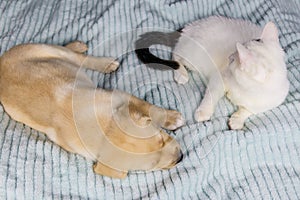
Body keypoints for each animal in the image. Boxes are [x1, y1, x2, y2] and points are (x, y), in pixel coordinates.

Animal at [0, 41, 185, 178]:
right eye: (153, 166)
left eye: (161, 138)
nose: (181, 157)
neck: (106, 129)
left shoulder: (119, 96)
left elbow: (150, 107)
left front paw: (171, 117)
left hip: (46, 50)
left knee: (77, 56)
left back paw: (90, 53)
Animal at [136, 16, 288, 129]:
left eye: (234, 59)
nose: (229, 57)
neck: (246, 90)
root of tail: (189, 26)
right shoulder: (219, 77)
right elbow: (211, 95)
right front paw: (203, 112)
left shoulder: (269, 102)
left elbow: (249, 110)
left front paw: (237, 119)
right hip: (193, 56)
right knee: (176, 55)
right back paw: (181, 74)